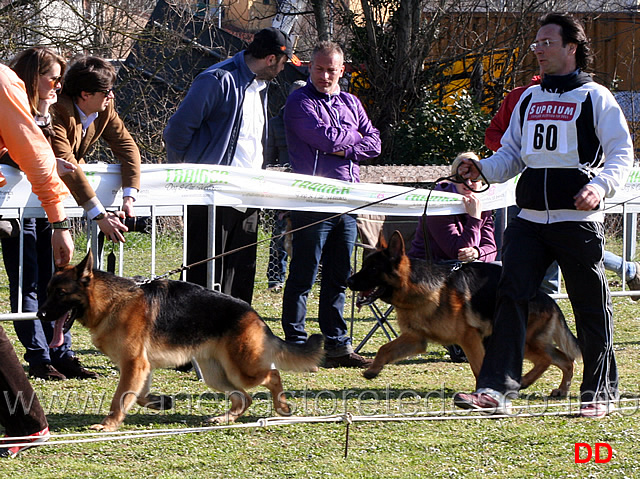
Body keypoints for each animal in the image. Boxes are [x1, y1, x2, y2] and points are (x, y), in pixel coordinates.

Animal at [37, 251, 322, 432]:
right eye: (48, 292)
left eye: (60, 293)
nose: (40, 315)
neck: (112, 301)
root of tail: (254, 315)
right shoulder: (140, 367)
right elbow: (138, 396)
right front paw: (159, 402)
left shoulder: (134, 364)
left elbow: (119, 398)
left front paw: (108, 425)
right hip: (215, 374)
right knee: (244, 398)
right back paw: (224, 418)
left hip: (242, 369)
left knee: (272, 376)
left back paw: (281, 407)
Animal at [348, 232, 584, 398]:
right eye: (364, 265)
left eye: (373, 269)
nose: (348, 281)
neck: (418, 289)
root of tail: (549, 298)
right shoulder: (415, 339)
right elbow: (384, 348)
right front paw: (373, 370)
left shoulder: (469, 338)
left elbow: (478, 368)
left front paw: (483, 394)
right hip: (530, 342)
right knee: (565, 359)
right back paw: (559, 390)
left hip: (521, 341)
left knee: (549, 359)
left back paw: (527, 381)